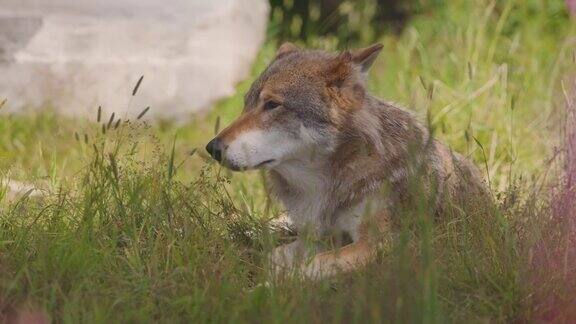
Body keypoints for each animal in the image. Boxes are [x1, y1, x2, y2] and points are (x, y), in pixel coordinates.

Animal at [205, 43, 488, 280]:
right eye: (246, 104)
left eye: (272, 104)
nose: (212, 148)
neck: (325, 184)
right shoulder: (321, 235)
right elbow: (275, 257)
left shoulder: (382, 243)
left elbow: (310, 266)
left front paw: (272, 288)